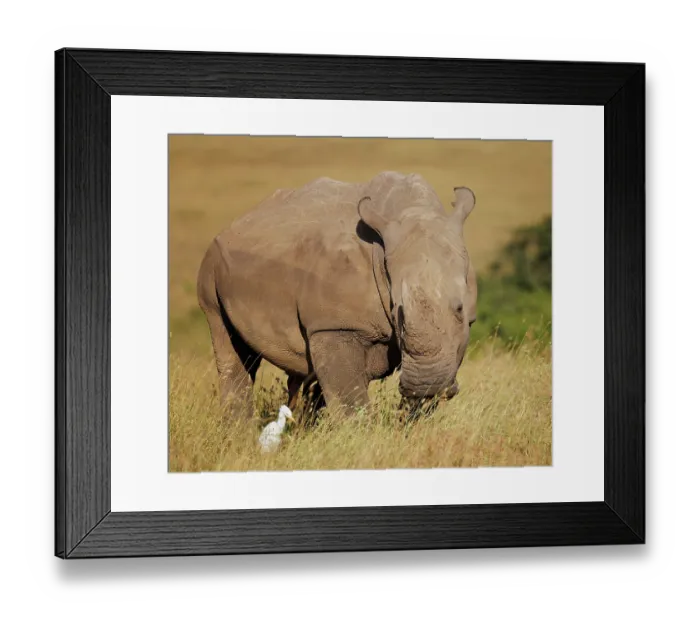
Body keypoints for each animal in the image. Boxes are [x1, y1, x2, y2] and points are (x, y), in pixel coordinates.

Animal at [197, 171, 477, 417]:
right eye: (399, 314)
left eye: (460, 311)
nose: (425, 383)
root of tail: (235, 223)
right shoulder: (335, 324)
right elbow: (349, 400)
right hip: (211, 264)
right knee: (231, 349)